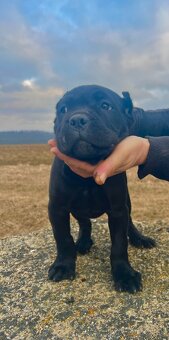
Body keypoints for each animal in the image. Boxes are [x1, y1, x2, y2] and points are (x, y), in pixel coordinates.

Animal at [48, 84, 168, 292]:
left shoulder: (118, 210)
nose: (77, 119)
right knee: (85, 223)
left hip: (127, 201)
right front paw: (63, 266)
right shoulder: (57, 208)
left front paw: (124, 274)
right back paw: (83, 242)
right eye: (64, 109)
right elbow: (63, 239)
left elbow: (119, 244)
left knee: (129, 223)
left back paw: (139, 239)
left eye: (105, 106)